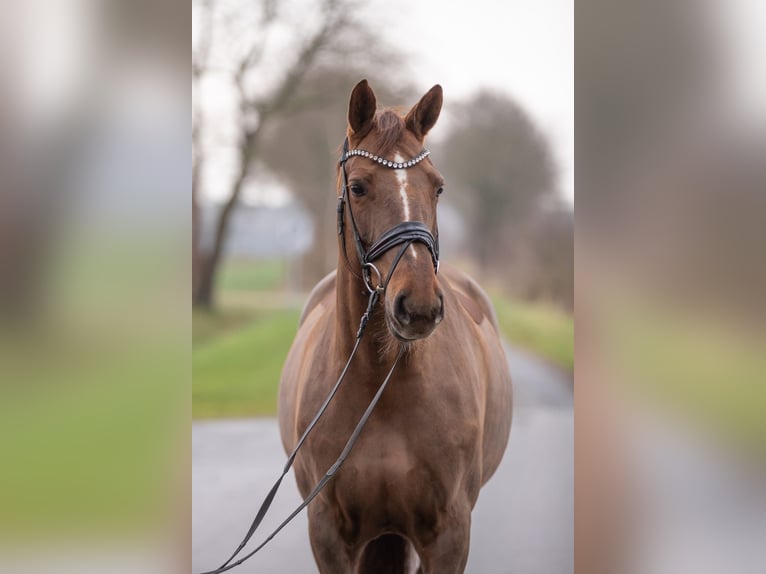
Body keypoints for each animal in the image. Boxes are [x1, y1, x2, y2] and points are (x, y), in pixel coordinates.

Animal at [280, 79, 512, 572]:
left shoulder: (449, 535)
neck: (381, 389)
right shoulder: (328, 534)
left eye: (438, 188)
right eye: (358, 186)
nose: (418, 305)